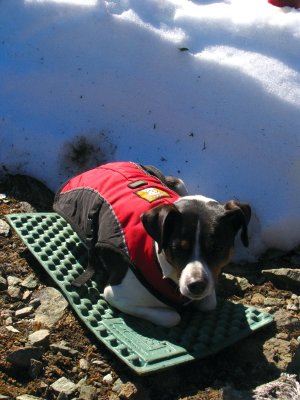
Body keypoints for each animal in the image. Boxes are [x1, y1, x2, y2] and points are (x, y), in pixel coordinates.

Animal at [54, 162, 251, 328]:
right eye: (177, 248)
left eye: (218, 248)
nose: (196, 286)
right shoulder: (115, 293)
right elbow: (172, 317)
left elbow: (209, 303)